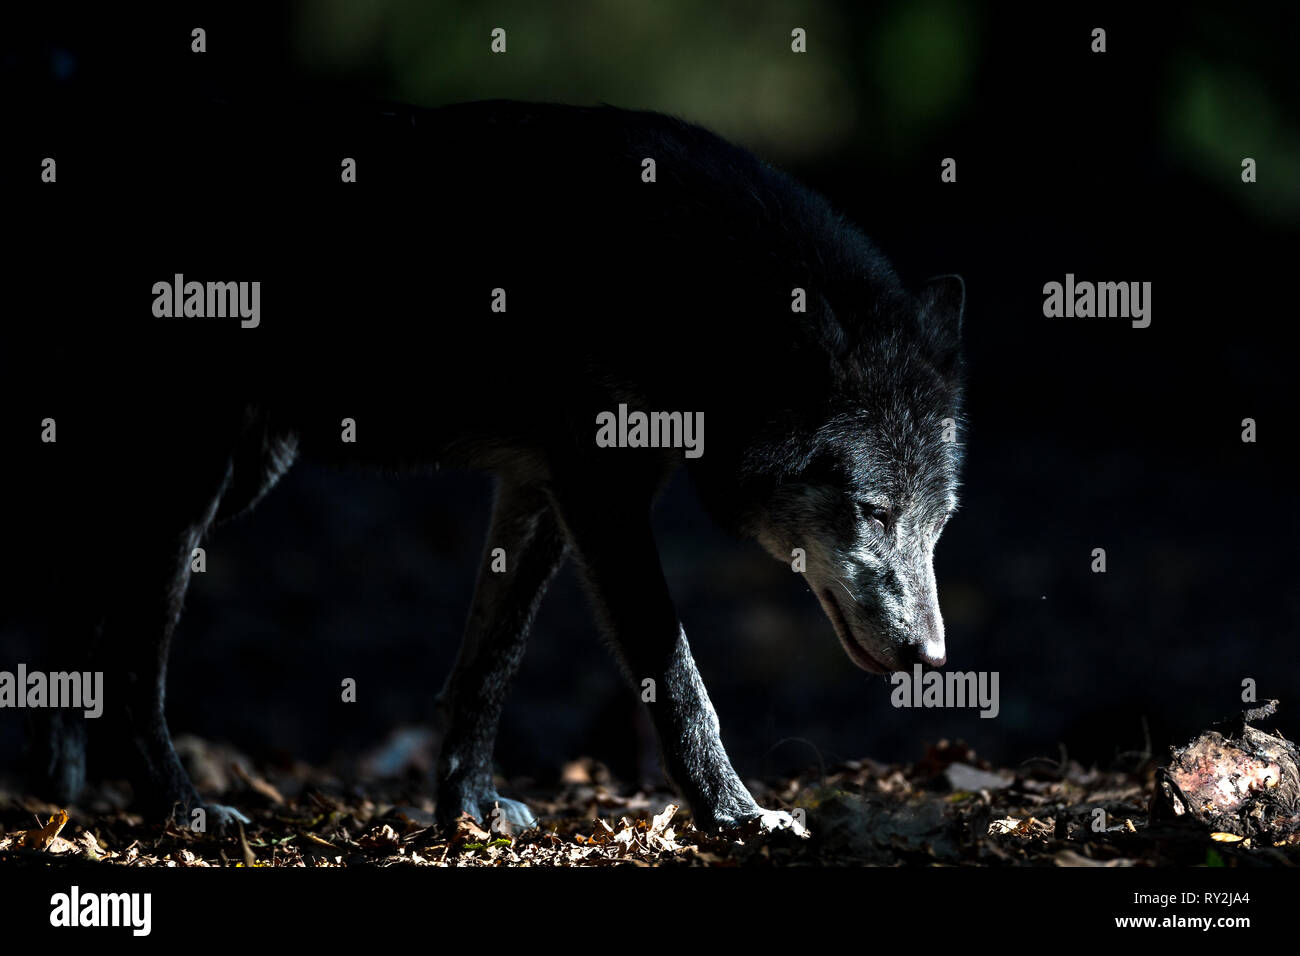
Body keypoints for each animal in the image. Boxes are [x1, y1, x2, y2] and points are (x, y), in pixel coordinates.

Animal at [2, 95, 967, 832]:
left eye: (935, 527)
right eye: (875, 512)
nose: (930, 657)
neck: (685, 287)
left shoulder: (541, 488)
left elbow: (489, 666)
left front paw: (466, 810)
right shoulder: (601, 494)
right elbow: (677, 677)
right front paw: (734, 815)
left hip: (231, 478)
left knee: (76, 604)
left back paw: (61, 788)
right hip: (195, 490)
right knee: (133, 657)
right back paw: (180, 809)